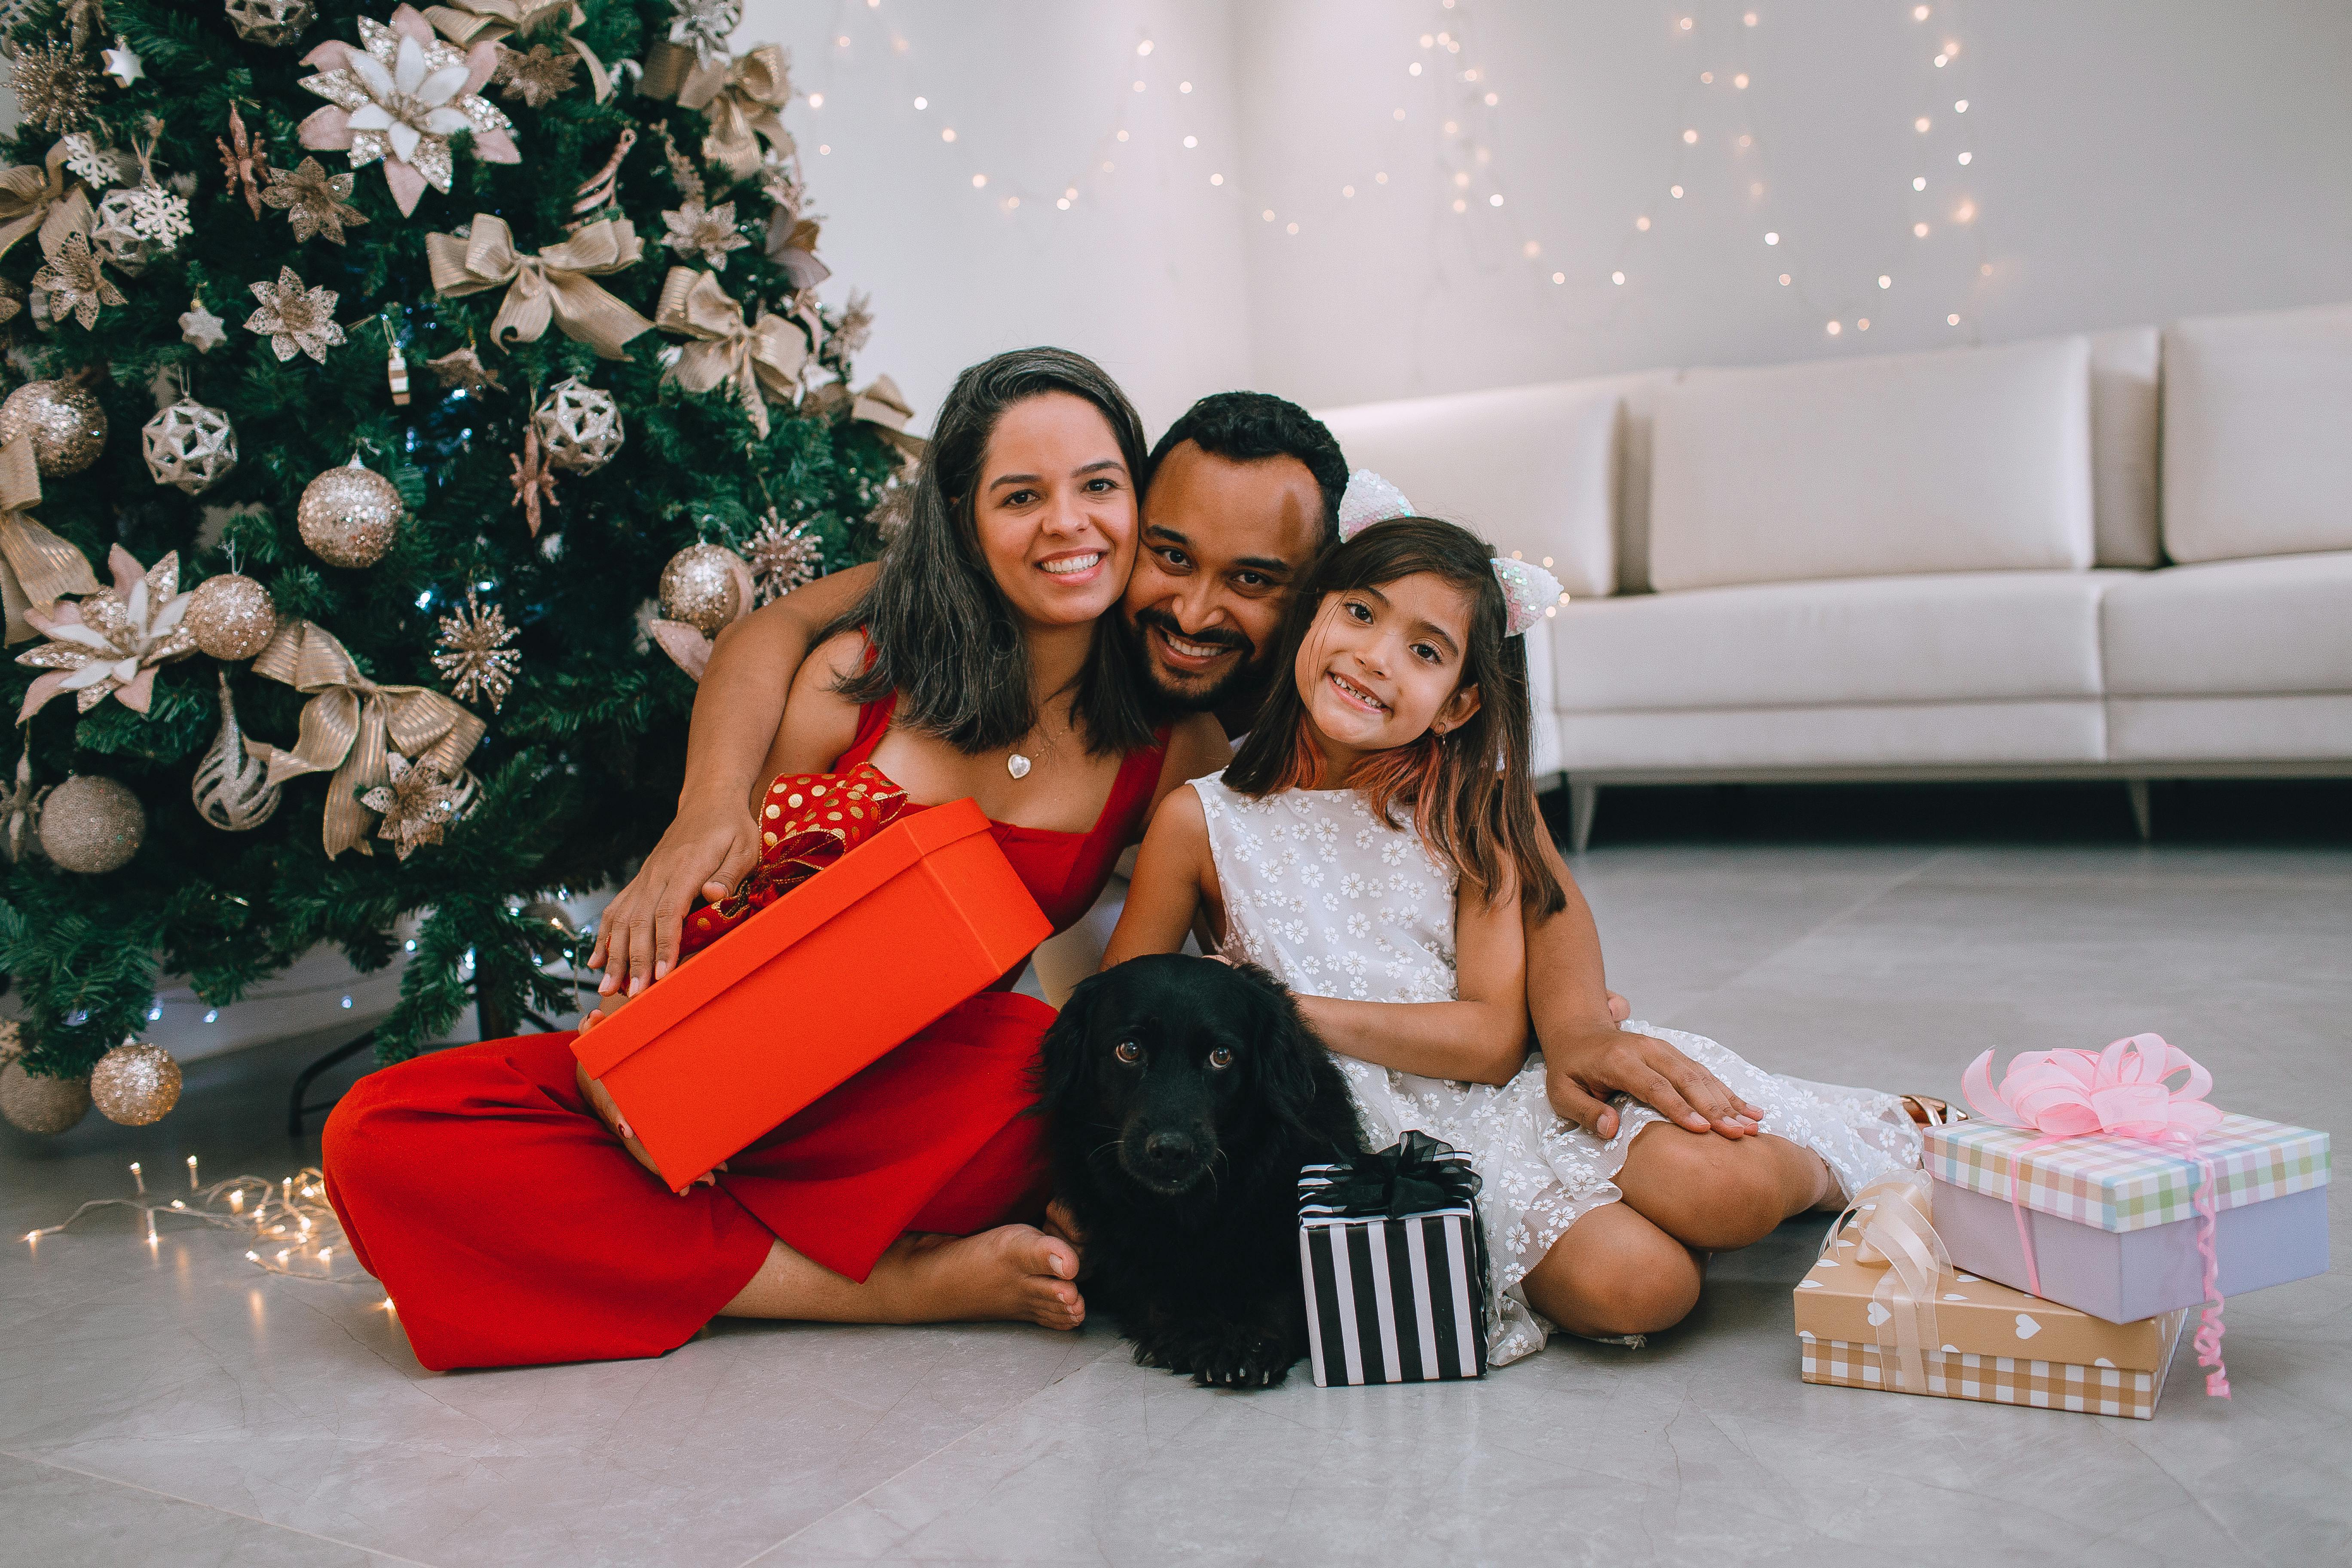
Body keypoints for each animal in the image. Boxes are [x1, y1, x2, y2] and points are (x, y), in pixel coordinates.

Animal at [1039, 959, 1373, 1382]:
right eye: (1129, 1050)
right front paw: (1201, 1335)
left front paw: (1256, 1341)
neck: (1192, 1207)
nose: (1170, 1151)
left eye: (1221, 1055)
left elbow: (1286, 1285)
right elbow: (1162, 1289)